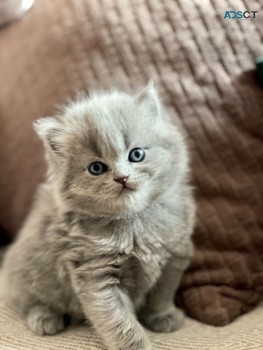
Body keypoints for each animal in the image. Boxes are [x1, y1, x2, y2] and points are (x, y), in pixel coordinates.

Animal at [2, 85, 196, 350]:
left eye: (136, 155)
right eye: (96, 168)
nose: (122, 178)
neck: (135, 224)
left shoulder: (175, 254)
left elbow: (162, 293)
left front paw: (162, 315)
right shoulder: (95, 273)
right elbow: (120, 323)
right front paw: (137, 346)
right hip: (28, 271)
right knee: (28, 300)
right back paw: (44, 317)